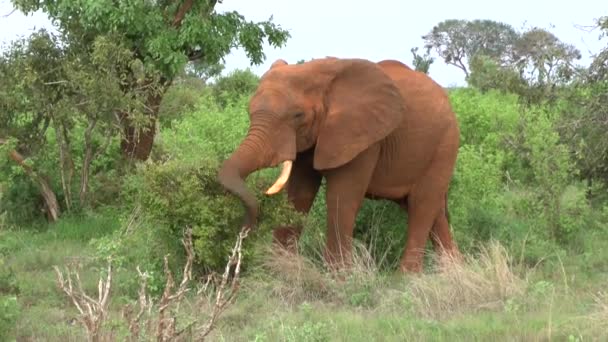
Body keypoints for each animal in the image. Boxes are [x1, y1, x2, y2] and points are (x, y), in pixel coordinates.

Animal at [218, 57, 460, 274]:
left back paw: (407, 279)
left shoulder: (362, 136)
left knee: (422, 204)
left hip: (445, 144)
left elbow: (341, 198)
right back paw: (452, 271)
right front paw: (278, 269)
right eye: (249, 111)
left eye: (298, 115)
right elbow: (299, 194)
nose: (242, 235)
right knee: (431, 210)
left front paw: (339, 277)